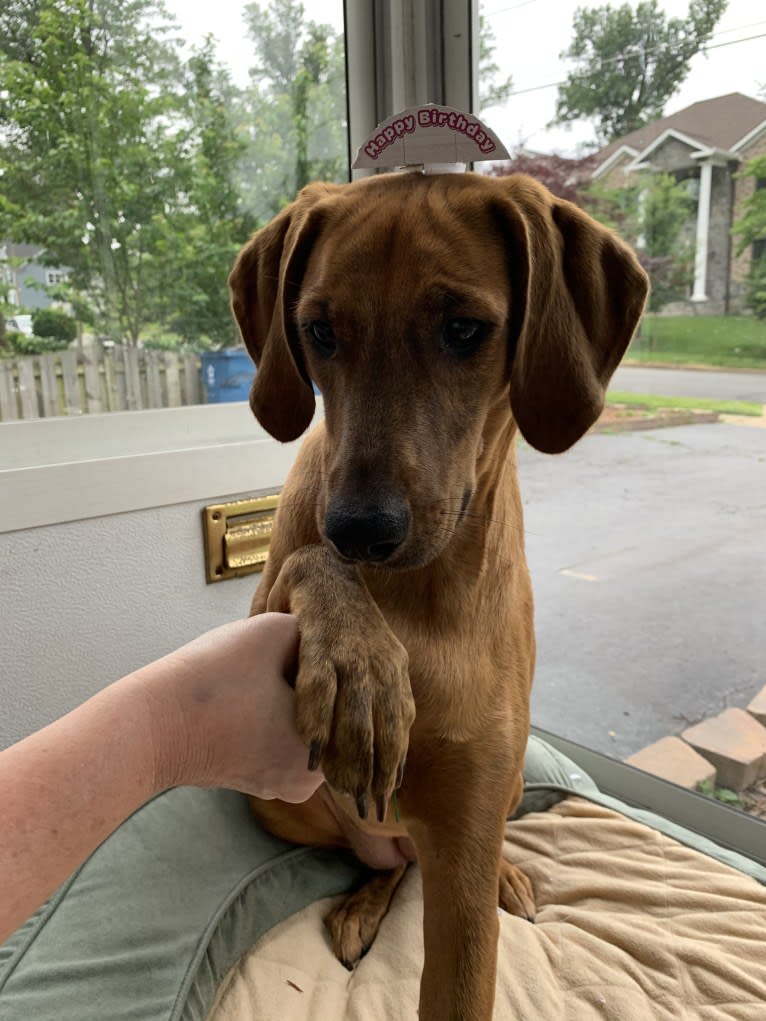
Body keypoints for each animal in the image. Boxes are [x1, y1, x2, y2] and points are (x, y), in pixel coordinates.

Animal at [227, 171, 649, 1016]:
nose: (361, 528)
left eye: (463, 329)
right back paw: (363, 900)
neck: (414, 591)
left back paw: (509, 874)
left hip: (504, 787)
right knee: (384, 863)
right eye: (319, 331)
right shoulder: (268, 602)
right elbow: (307, 560)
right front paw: (359, 669)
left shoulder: (465, 847)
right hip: (275, 802)